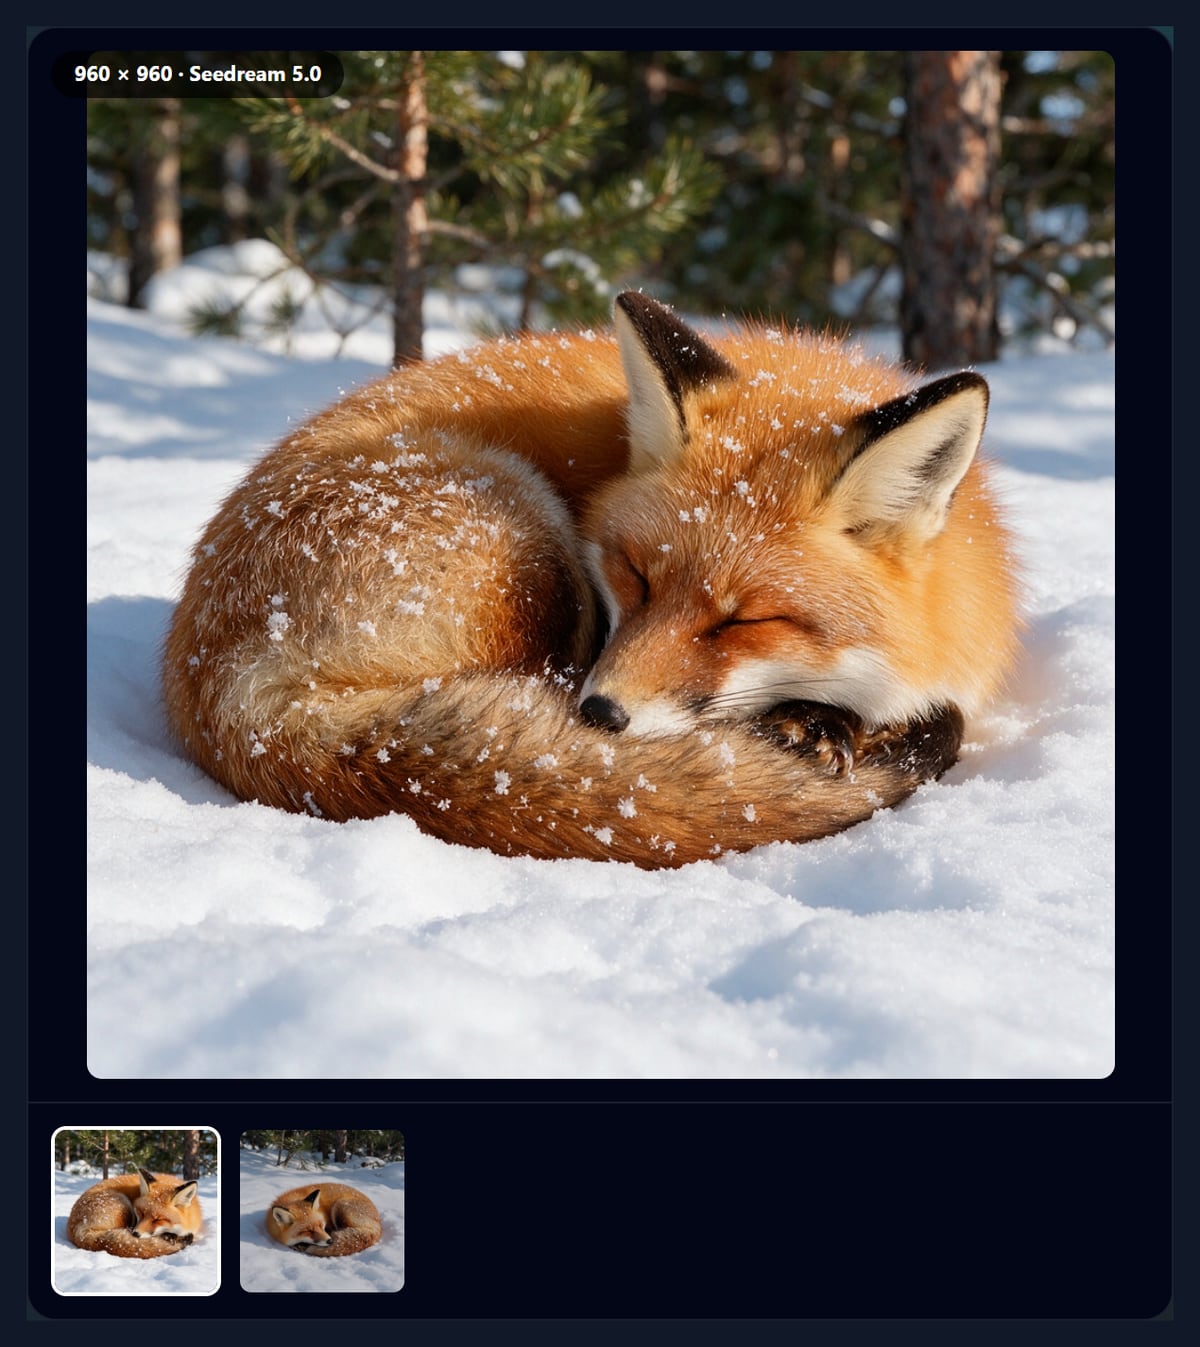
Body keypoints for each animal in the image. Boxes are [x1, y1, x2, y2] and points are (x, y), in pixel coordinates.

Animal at [162, 291, 1020, 868]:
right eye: (635, 575)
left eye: (743, 621)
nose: (601, 713)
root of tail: (224, 685)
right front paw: (820, 725)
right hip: (525, 538)